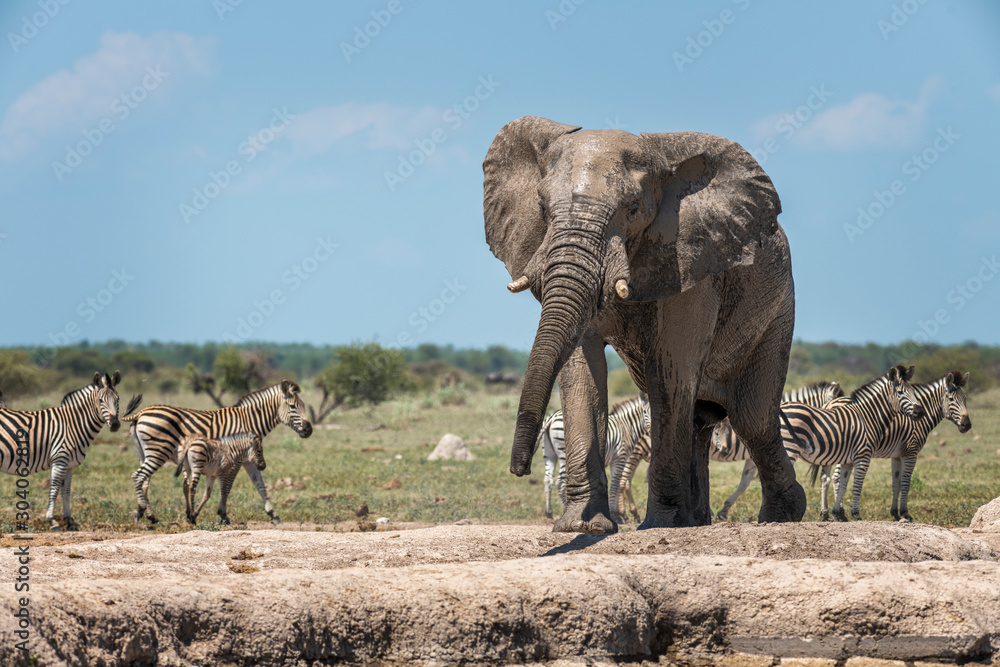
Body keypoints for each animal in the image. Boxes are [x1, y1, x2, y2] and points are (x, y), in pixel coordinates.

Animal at [0, 371, 139, 530]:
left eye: (118, 399)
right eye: (100, 400)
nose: (115, 424)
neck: (73, 425)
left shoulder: (69, 465)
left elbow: (66, 492)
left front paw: (69, 521)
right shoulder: (60, 460)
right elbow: (54, 491)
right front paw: (52, 521)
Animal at [125, 380, 312, 525]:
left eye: (303, 406)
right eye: (293, 406)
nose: (309, 430)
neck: (249, 421)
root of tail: (140, 413)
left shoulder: (249, 460)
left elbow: (260, 486)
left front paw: (273, 515)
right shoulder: (237, 459)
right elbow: (227, 486)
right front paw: (222, 515)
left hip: (145, 454)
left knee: (144, 481)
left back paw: (145, 514)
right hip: (158, 451)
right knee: (138, 477)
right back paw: (147, 514)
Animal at [532, 395, 650, 523]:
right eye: (645, 412)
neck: (626, 426)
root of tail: (552, 417)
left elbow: (617, 484)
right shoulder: (620, 458)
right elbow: (617, 484)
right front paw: (617, 515)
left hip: (549, 453)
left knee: (548, 480)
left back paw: (549, 513)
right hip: (564, 453)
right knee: (560, 482)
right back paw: (565, 511)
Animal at [781, 364, 925, 521]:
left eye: (913, 391)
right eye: (900, 392)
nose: (920, 412)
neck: (868, 417)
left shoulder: (848, 461)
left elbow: (843, 484)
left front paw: (837, 512)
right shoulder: (863, 457)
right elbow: (857, 485)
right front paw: (856, 514)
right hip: (789, 449)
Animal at [818, 370, 971, 522]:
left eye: (965, 399)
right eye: (951, 399)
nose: (967, 425)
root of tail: (829, 404)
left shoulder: (897, 456)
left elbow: (896, 483)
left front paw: (895, 513)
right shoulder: (910, 453)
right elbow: (905, 483)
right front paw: (905, 513)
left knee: (826, 478)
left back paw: (826, 513)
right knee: (836, 477)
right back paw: (840, 513)